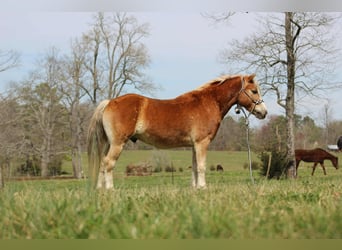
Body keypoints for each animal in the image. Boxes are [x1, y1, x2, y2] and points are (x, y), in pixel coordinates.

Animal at [87, 74, 268, 189]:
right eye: (254, 91)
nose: (264, 112)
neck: (209, 103)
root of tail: (110, 102)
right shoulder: (202, 143)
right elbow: (201, 166)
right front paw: (203, 187)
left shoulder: (194, 145)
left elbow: (194, 167)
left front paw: (195, 188)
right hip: (118, 143)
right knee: (108, 163)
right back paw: (110, 189)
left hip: (108, 144)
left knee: (102, 163)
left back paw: (99, 190)